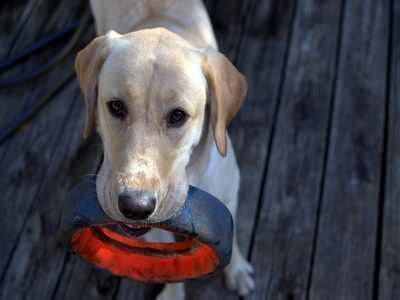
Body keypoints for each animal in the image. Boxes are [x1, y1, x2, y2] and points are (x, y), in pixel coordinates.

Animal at [76, 0, 253, 298]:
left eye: (178, 116)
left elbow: (234, 239)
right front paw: (173, 293)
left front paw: (237, 270)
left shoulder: (230, 197)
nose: (135, 207)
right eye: (116, 106)